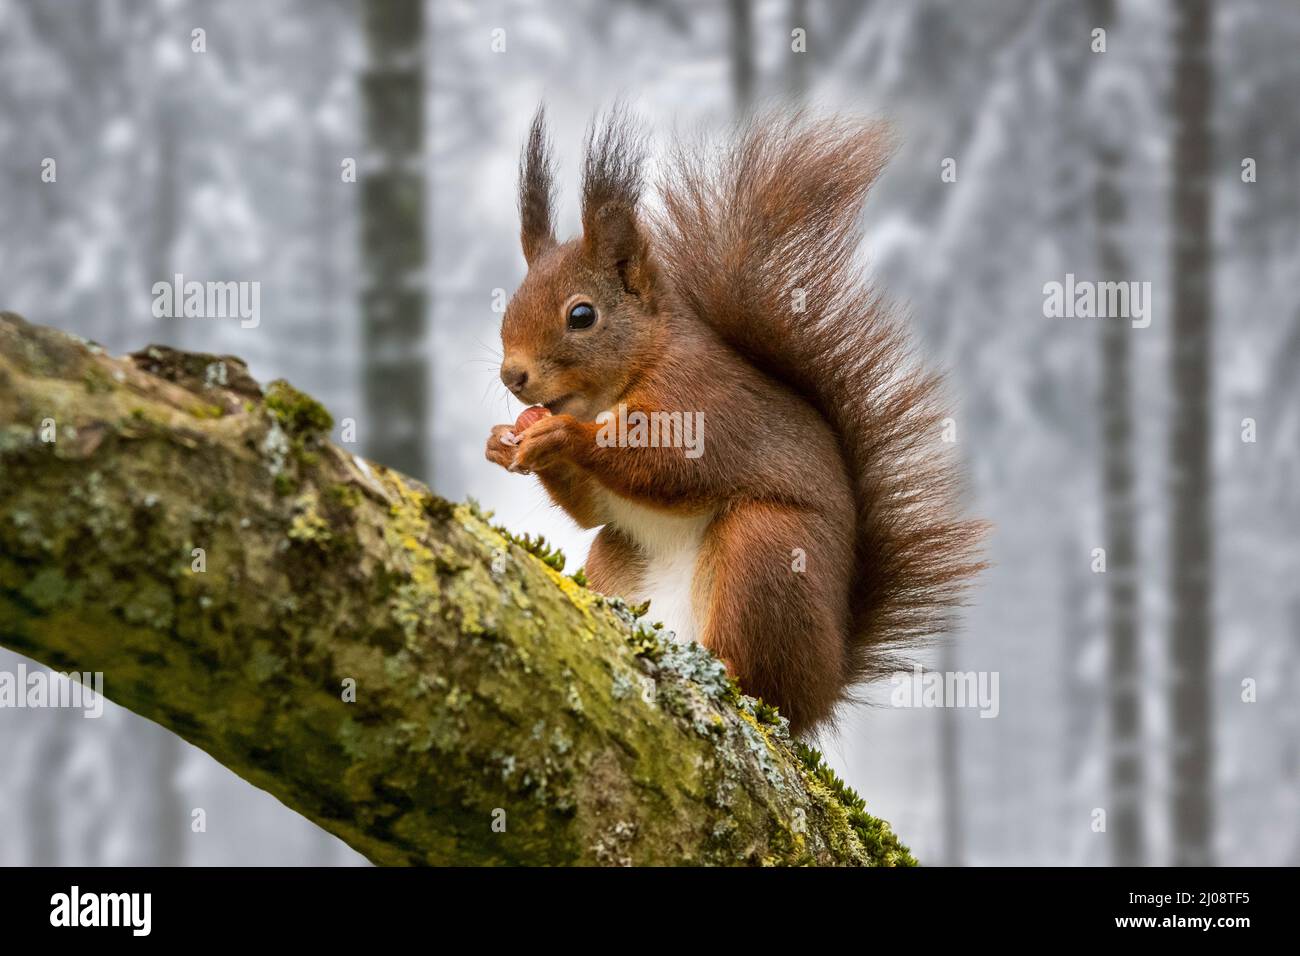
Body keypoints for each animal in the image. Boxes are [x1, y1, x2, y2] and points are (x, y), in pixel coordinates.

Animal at [485, 107, 986, 735]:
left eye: (582, 315)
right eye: (508, 306)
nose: (512, 376)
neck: (622, 382)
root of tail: (824, 688)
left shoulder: (703, 401)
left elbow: (670, 467)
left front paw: (564, 436)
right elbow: (592, 509)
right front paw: (503, 443)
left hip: (766, 547)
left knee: (761, 678)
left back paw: (730, 672)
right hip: (619, 555)